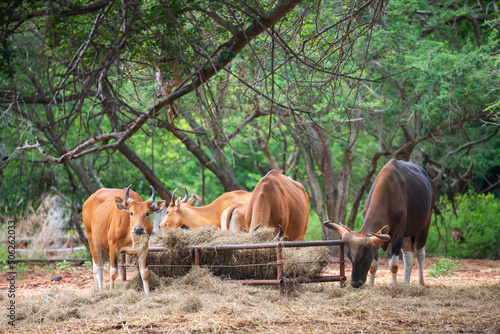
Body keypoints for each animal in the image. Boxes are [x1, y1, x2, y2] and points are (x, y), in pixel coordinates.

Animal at [324, 159, 434, 288]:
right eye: (349, 257)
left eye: (365, 258)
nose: (355, 283)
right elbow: (373, 266)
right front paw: (371, 286)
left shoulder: (397, 235)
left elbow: (394, 265)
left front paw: (394, 286)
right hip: (408, 232)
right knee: (409, 255)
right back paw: (406, 283)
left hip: (424, 225)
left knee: (420, 254)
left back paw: (420, 282)